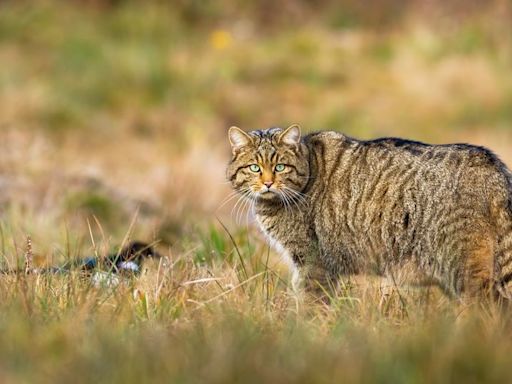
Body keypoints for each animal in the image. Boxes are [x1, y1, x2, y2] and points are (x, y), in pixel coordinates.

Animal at [225, 125, 512, 300]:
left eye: (280, 167)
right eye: (254, 168)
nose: (268, 183)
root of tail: (492, 164)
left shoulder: (314, 264)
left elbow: (310, 304)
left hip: (464, 270)